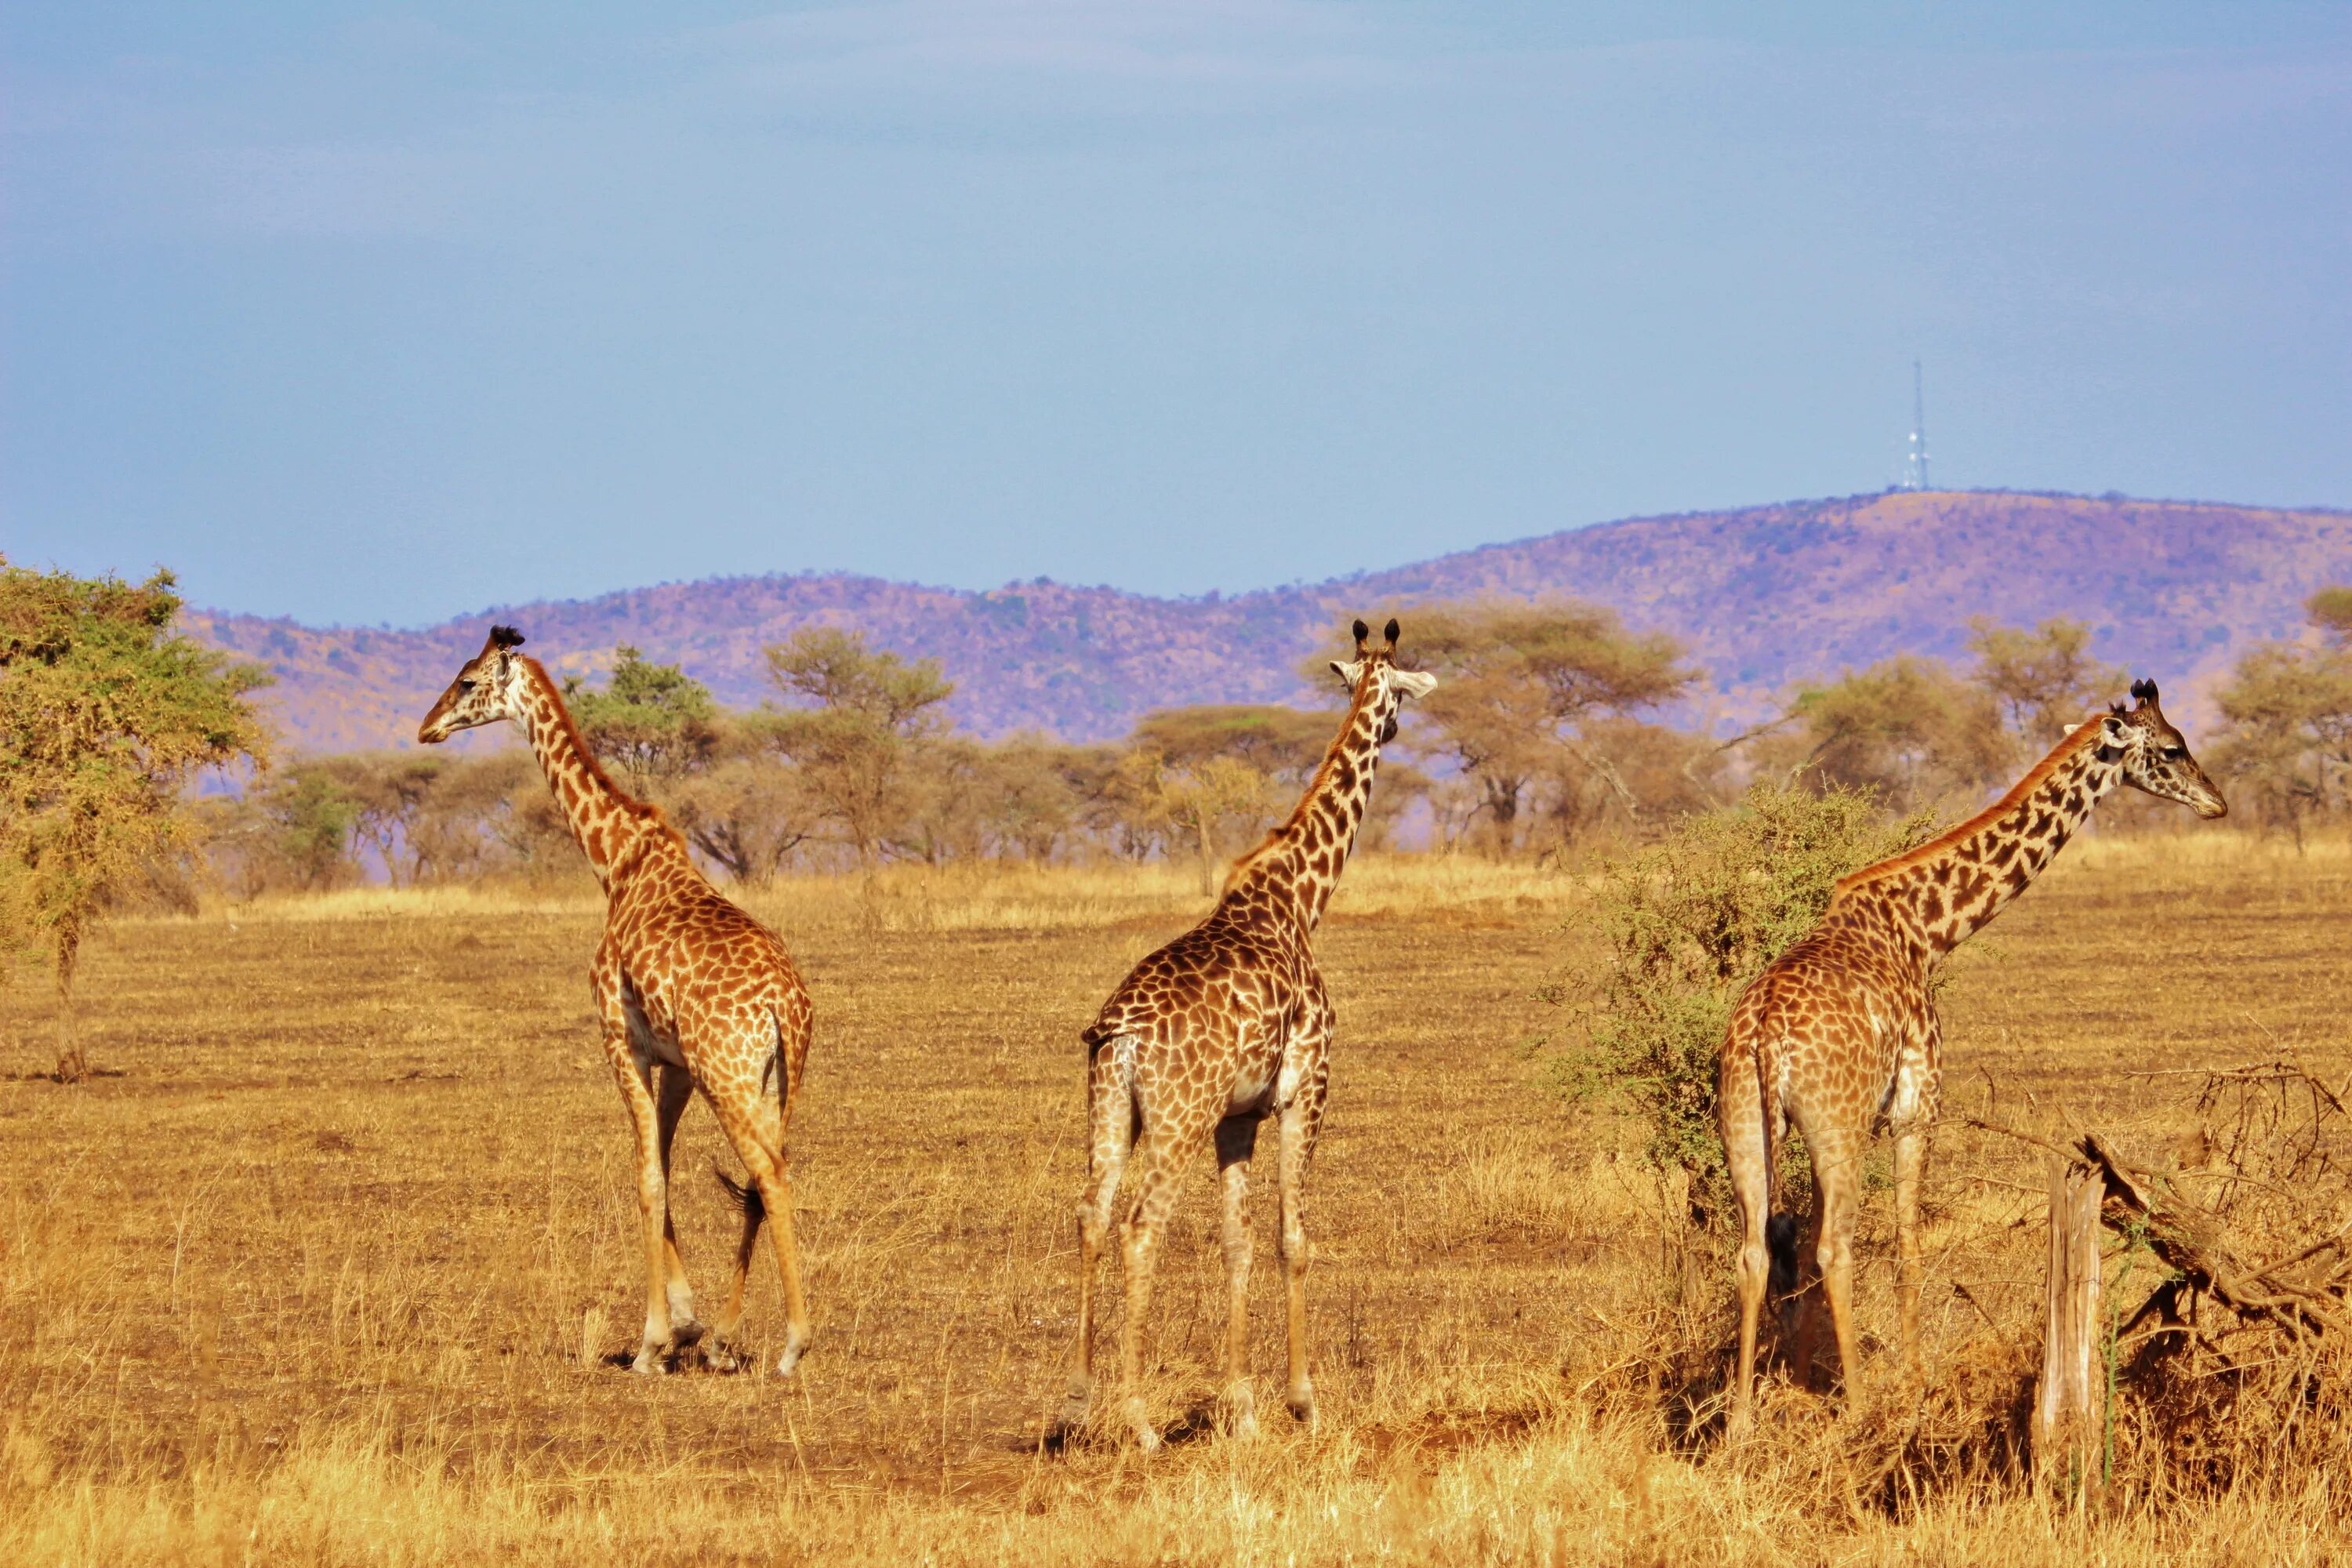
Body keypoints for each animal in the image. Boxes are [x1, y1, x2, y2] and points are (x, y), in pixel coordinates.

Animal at [421, 630, 818, 1382]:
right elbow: (661, 1166)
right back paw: (726, 1341)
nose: (426, 727)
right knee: (764, 1180)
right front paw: (689, 1328)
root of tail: (786, 1006)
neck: (616, 862)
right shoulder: (677, 1063)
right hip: (775, 1079)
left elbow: (646, 1178)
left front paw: (652, 1342)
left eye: (466, 681)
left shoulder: (619, 1039)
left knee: (770, 1176)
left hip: (729, 1075)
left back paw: (792, 1346)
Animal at [1063, 620, 1430, 1457]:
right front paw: (1301, 1403)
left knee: (1093, 1216)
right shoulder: (1306, 1090)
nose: (1398, 728)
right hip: (1177, 1118)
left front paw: (1242, 1408)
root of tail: (1120, 1032)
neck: (1297, 899)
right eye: (1401, 695)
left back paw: (1078, 1400)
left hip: (1112, 1110)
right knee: (1141, 1226)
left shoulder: (1237, 1118)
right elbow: (1295, 1239)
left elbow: (1237, 1241)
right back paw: (1139, 1421)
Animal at [1722, 677, 2211, 1439]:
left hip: (1749, 1122)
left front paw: (1804, 1384)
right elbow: (1909, 1242)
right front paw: (1915, 1380)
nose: (2217, 801)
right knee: (1835, 1247)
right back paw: (1861, 1407)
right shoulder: (1916, 1102)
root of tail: (1766, 1033)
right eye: (2171, 748)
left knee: (1753, 1250)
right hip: (1836, 1128)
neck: (1926, 929)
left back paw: (1742, 1419)